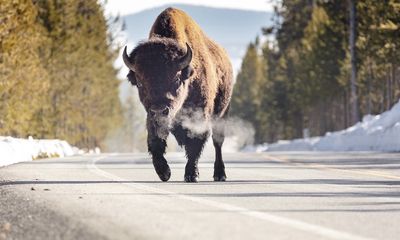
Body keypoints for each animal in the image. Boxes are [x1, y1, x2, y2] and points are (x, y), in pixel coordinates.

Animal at [123, 7, 233, 183]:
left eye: (176, 79)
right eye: (139, 82)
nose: (159, 110)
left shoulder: (199, 117)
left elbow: (195, 143)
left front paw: (191, 175)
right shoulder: (152, 118)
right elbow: (155, 141)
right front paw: (164, 172)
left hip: (222, 113)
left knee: (218, 142)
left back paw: (220, 174)